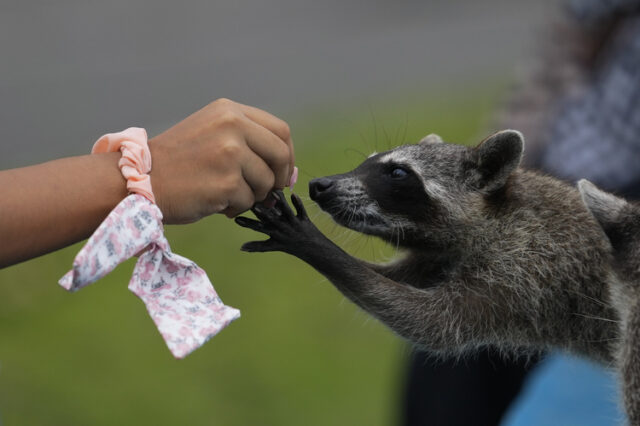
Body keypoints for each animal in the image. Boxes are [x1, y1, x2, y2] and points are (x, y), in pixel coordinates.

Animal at [238, 130, 616, 362]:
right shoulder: (441, 254)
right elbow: (399, 281)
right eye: (368, 161)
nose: (319, 185)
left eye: (398, 173)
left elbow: (431, 323)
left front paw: (316, 246)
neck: (496, 216)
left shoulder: (528, 265)